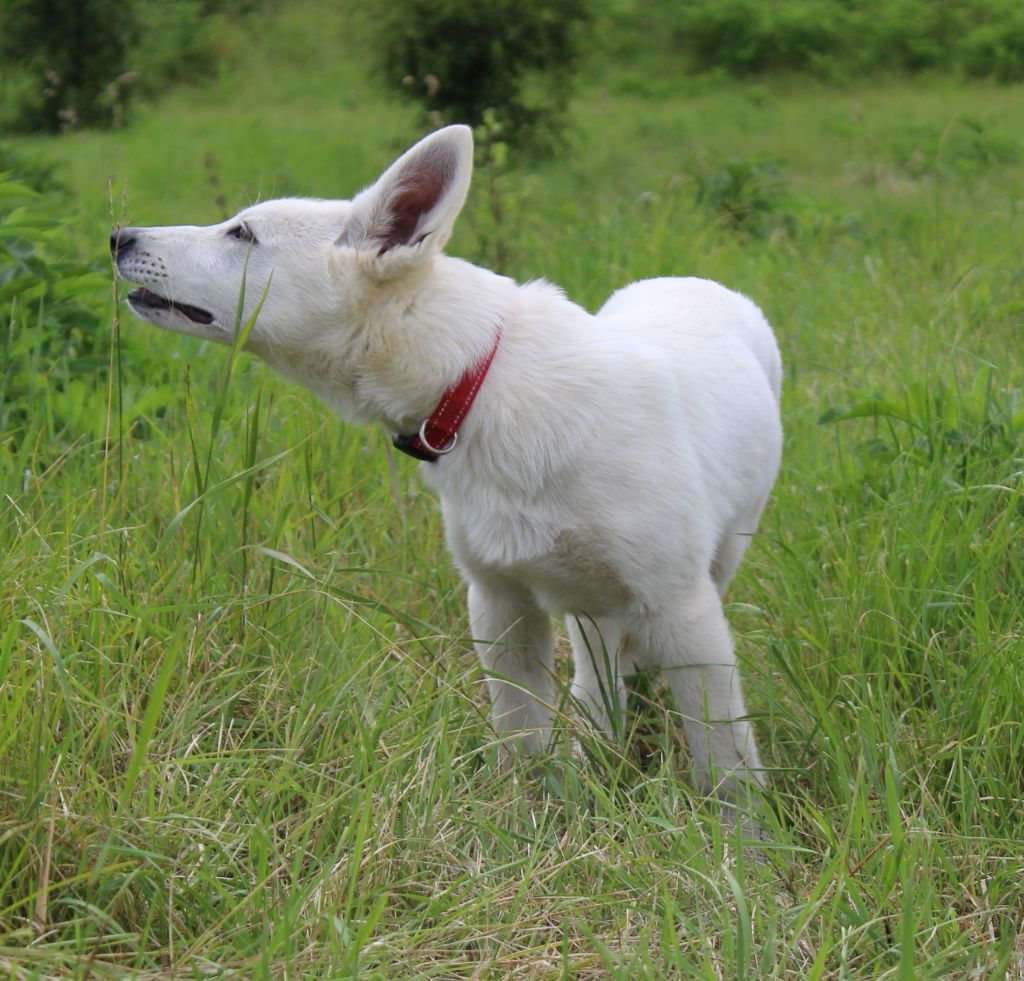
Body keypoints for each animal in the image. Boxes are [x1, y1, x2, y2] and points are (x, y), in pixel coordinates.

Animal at [114, 126, 782, 798]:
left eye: (242, 235)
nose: (119, 237)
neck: (477, 380)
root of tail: (697, 281)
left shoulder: (683, 610)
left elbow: (724, 756)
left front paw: (741, 827)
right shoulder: (498, 602)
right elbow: (520, 733)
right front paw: (527, 810)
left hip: (719, 556)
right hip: (587, 597)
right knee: (597, 672)